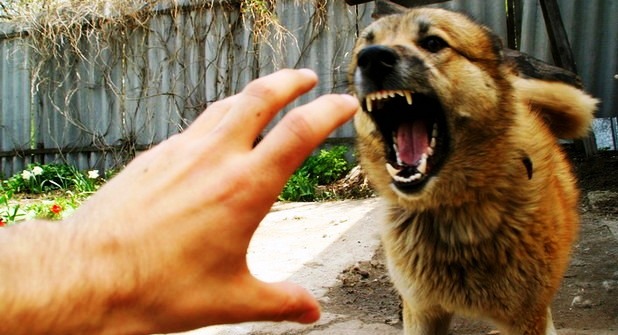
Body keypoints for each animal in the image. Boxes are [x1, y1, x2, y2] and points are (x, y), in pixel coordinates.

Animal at [348, 6, 596, 334]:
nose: (373, 58)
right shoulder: (422, 311)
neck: (454, 212)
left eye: (433, 43)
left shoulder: (526, 316)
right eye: (364, 48)